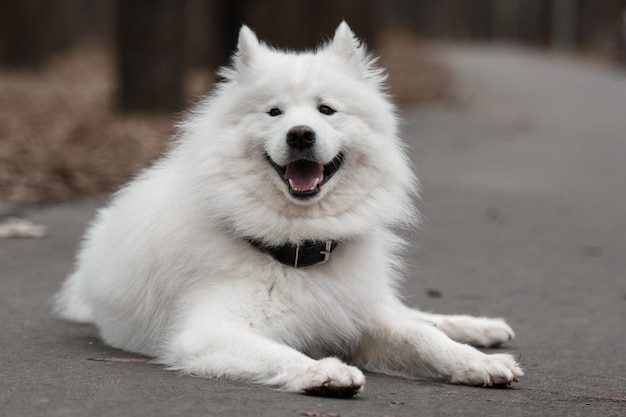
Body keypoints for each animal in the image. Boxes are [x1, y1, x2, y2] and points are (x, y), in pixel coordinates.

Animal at [54, 22, 520, 396]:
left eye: (326, 109)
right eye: (274, 112)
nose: (300, 134)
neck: (298, 248)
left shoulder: (354, 315)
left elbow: (423, 338)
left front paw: (476, 362)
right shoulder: (208, 331)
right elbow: (278, 352)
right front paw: (325, 373)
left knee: (417, 316)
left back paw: (483, 330)